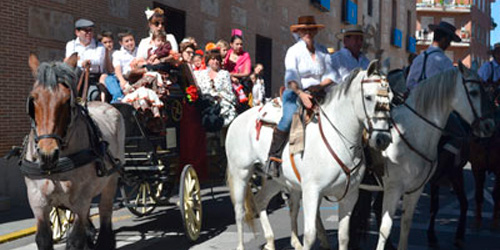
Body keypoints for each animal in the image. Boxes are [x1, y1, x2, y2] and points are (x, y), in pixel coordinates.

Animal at [23, 53, 126, 249]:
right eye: (33, 99)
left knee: (105, 209)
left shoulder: (81, 199)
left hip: (111, 179)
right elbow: (43, 238)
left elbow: (75, 240)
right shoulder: (37, 200)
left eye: (65, 101)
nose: (48, 154)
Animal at [227, 61, 394, 250]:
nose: (383, 139)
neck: (338, 139)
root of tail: (238, 118)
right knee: (240, 211)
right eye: (368, 97)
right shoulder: (312, 192)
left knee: (261, 201)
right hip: (240, 173)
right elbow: (310, 234)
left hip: (276, 180)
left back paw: (270, 241)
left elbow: (344, 236)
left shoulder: (350, 196)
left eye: (391, 99)